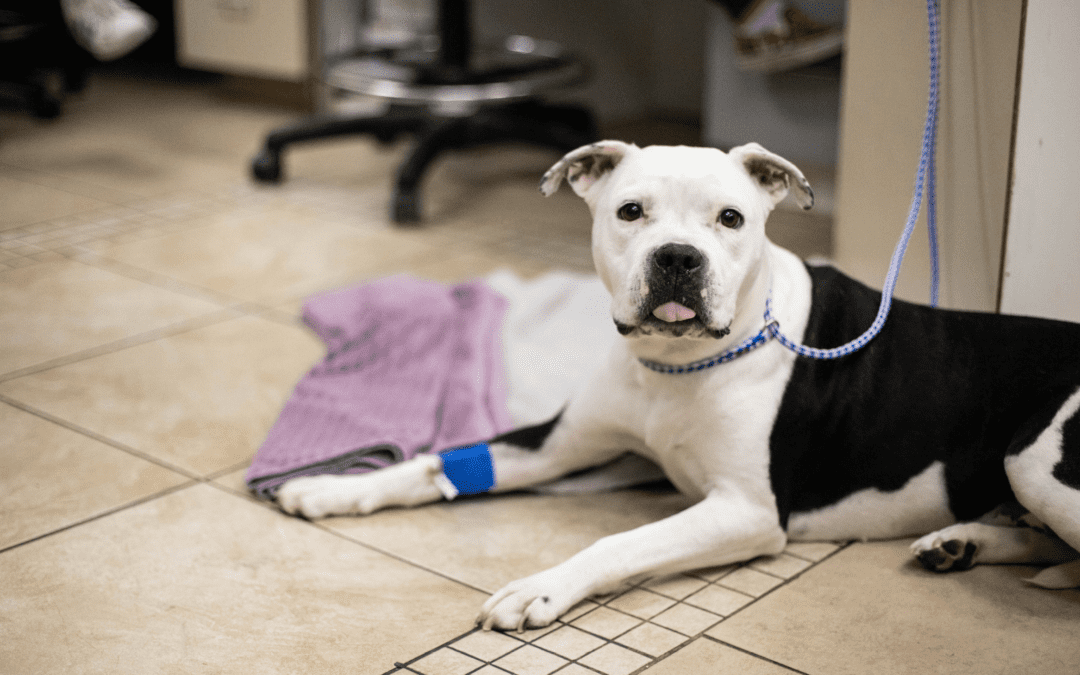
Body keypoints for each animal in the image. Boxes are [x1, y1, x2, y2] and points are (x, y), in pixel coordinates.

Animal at [276, 139, 1080, 630]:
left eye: (731, 218)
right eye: (631, 211)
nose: (677, 258)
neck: (674, 363)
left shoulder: (747, 511)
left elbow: (622, 540)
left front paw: (539, 586)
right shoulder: (567, 447)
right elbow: (436, 463)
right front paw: (331, 486)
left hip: (1034, 456)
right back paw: (959, 544)